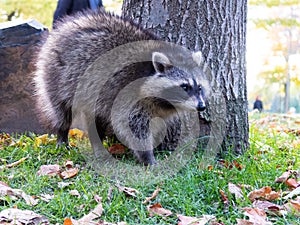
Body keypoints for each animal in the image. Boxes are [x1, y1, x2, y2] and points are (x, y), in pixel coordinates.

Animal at [34, 10, 209, 165]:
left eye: (199, 87)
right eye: (185, 86)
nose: (201, 106)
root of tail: (63, 27)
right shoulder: (129, 96)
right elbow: (133, 127)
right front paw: (148, 157)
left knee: (96, 117)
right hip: (58, 76)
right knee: (61, 110)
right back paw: (62, 133)